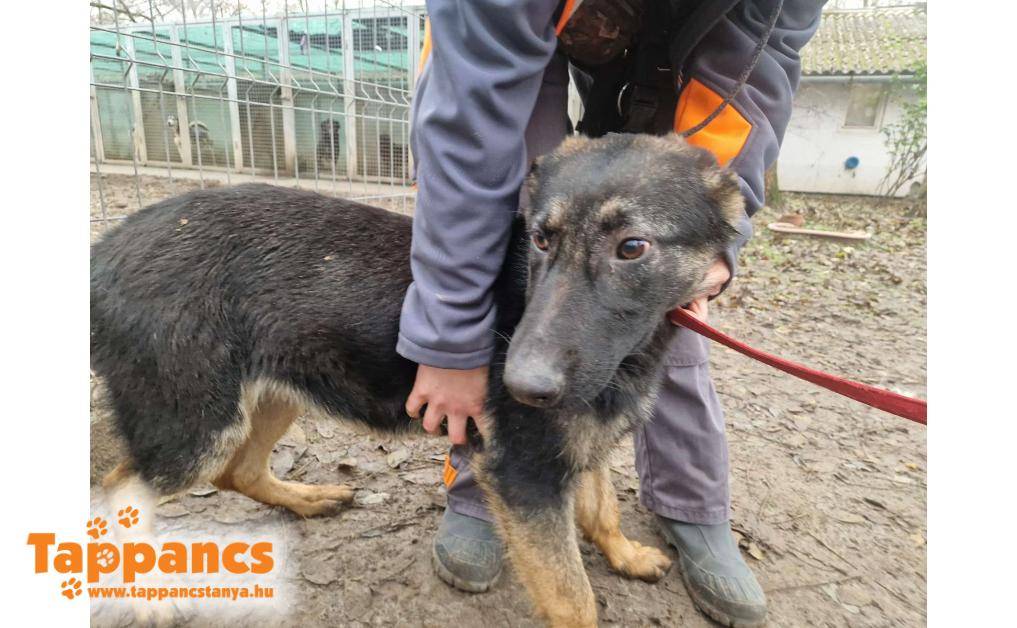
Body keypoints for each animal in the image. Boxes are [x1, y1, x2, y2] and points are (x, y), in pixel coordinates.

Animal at [91, 133, 743, 627]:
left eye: (632, 247)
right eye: (540, 239)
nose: (521, 383)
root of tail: (105, 247)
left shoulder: (579, 444)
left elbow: (602, 508)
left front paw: (625, 554)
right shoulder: (524, 474)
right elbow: (572, 597)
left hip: (273, 395)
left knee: (239, 472)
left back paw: (307, 499)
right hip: (196, 424)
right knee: (121, 488)